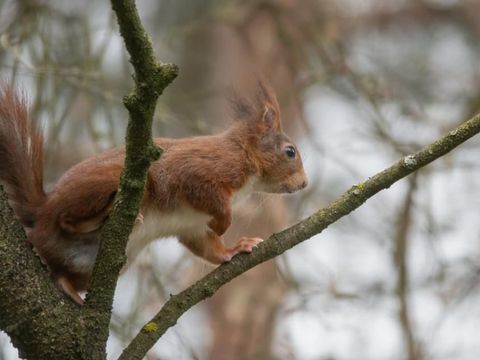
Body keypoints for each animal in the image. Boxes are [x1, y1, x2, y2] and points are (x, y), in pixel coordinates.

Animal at [0, 83, 308, 302]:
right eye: (290, 152)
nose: (305, 184)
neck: (243, 152)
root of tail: (41, 212)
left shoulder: (192, 225)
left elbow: (208, 247)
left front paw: (234, 248)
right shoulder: (203, 171)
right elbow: (210, 198)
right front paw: (223, 225)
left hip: (96, 263)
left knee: (60, 271)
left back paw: (70, 288)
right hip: (116, 182)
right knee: (66, 219)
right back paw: (97, 218)